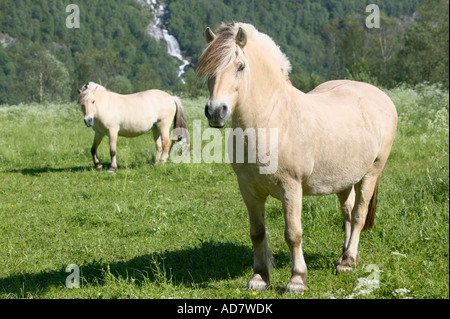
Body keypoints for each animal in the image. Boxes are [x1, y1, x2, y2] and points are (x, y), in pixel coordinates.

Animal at [197, 21, 398, 294]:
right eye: (209, 69)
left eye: (240, 66)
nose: (216, 112)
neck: (272, 120)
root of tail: (381, 96)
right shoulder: (248, 189)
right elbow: (257, 232)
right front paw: (259, 277)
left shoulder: (290, 187)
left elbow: (293, 234)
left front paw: (297, 280)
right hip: (344, 178)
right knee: (347, 212)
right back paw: (346, 255)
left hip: (372, 172)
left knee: (359, 214)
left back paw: (347, 262)